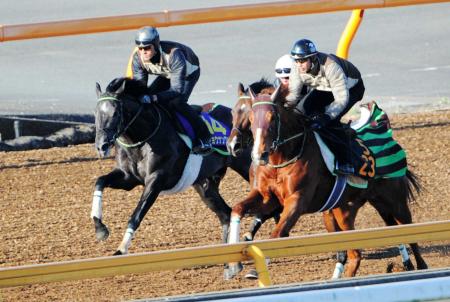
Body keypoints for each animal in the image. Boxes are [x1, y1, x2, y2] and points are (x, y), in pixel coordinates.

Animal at [91, 78, 255, 255]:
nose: (101, 145)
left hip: (247, 167)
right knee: (225, 214)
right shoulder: (128, 177)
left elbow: (137, 215)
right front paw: (100, 228)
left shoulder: (156, 179)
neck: (141, 139)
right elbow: (100, 181)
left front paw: (121, 249)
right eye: (96, 113)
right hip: (205, 185)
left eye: (115, 113)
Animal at [227, 85, 428, 278]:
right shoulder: (268, 197)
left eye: (272, 118)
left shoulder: (297, 200)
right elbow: (238, 209)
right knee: (356, 253)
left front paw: (253, 269)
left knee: (409, 234)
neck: (282, 158)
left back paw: (419, 266)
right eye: (249, 117)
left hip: (395, 201)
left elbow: (278, 234)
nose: (258, 154)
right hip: (344, 210)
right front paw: (233, 265)